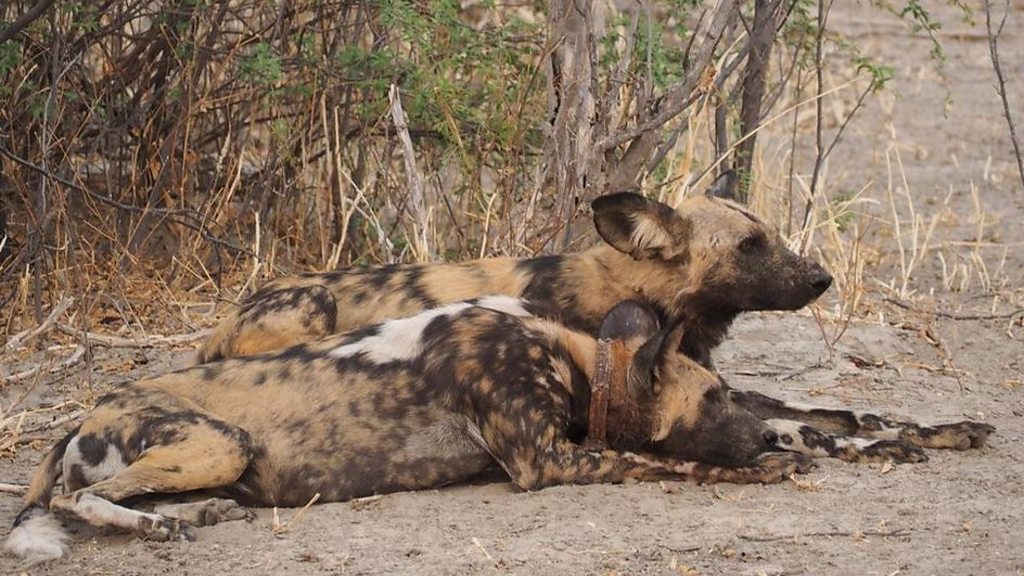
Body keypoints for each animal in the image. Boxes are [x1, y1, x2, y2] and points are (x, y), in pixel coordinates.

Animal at [6, 297, 806, 557]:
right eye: (716, 398)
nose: (768, 435)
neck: (577, 364)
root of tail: (84, 413)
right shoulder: (548, 462)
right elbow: (671, 462)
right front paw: (766, 467)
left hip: (219, 456)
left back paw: (196, 514)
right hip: (221, 442)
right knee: (74, 499)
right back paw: (158, 526)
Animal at [195, 189, 995, 461]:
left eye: (772, 236)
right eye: (749, 247)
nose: (822, 279)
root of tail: (220, 329)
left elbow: (842, 410)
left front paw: (942, 430)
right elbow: (809, 426)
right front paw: (871, 449)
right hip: (312, 313)